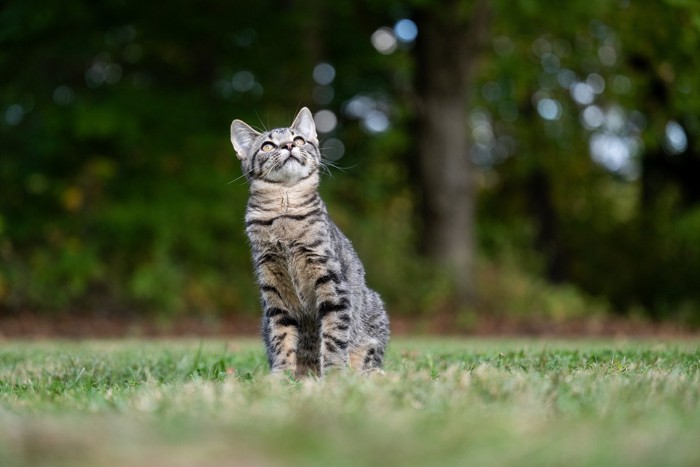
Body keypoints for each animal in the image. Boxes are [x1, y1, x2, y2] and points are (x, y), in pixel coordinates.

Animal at [232, 108, 392, 378]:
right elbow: (281, 339)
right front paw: (281, 377)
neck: (284, 207)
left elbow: (334, 336)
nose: (288, 145)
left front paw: (335, 375)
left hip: (374, 310)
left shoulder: (332, 283)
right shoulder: (273, 292)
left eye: (298, 140)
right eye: (267, 146)